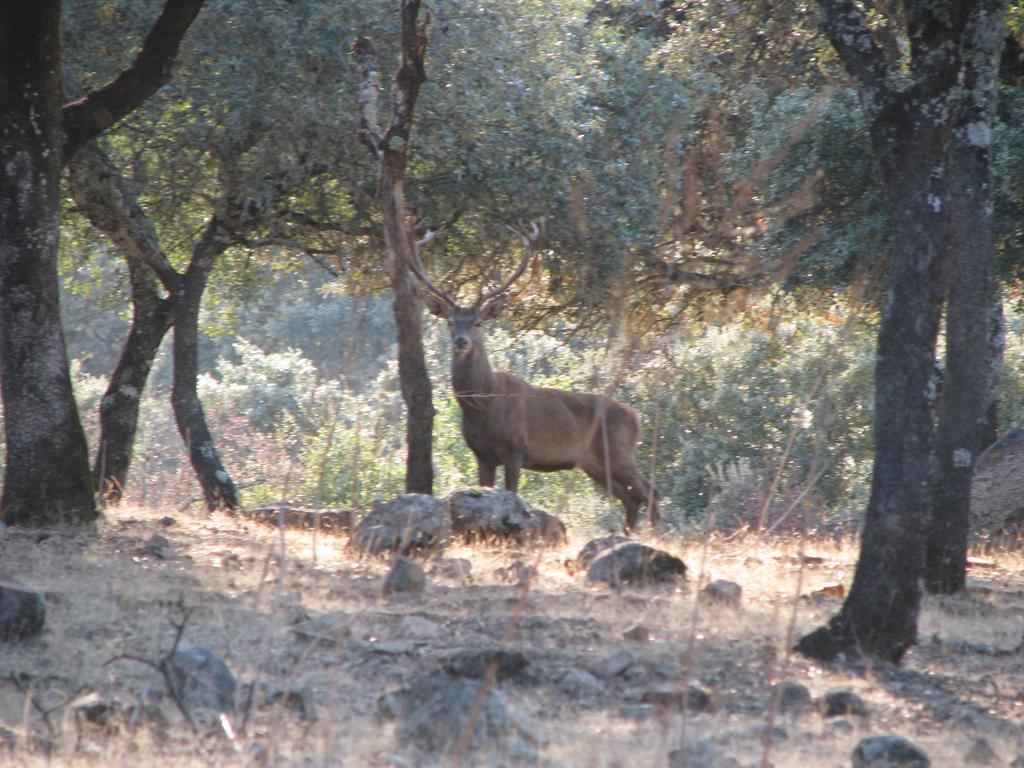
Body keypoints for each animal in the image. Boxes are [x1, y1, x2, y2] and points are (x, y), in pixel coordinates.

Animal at [409, 222, 663, 536]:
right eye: (450, 321)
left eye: (478, 322)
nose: (461, 341)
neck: (485, 404)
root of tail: (636, 416)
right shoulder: (481, 453)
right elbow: (484, 493)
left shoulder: (516, 447)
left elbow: (513, 494)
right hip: (594, 463)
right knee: (631, 497)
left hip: (619, 452)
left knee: (651, 492)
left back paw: (655, 536)